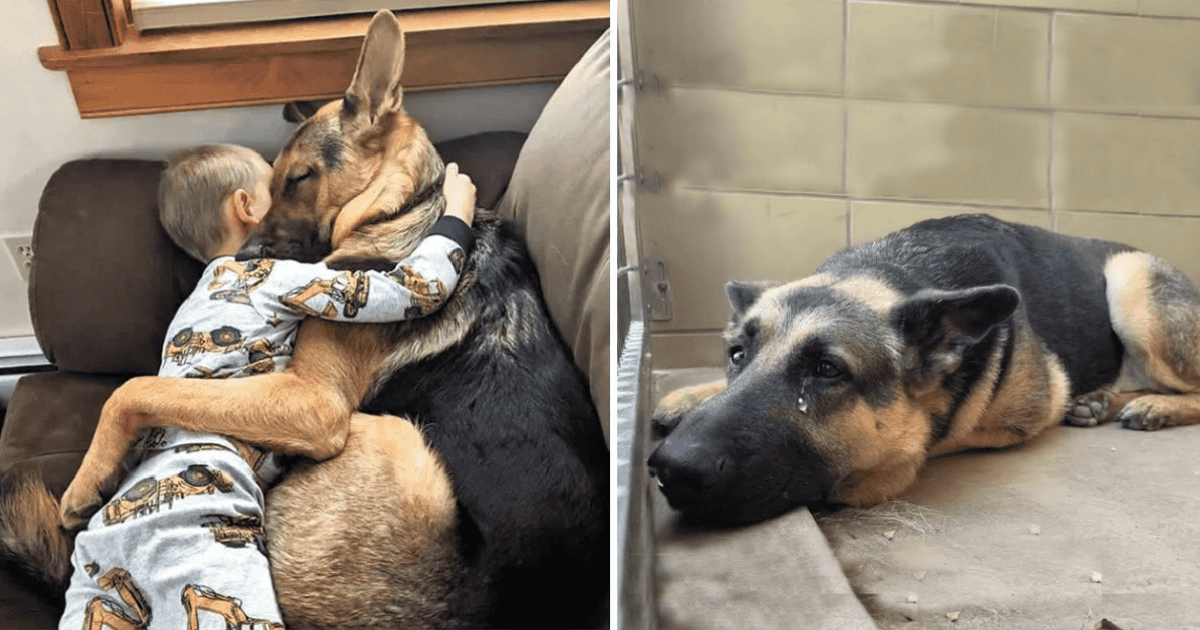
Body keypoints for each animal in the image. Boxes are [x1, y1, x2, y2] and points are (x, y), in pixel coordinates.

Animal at [1, 11, 608, 629]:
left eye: (299, 179)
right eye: (273, 185)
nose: (243, 259)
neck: (406, 207)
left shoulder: (314, 400)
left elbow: (134, 388)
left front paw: (87, 479)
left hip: (385, 432)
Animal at [649, 213, 1200, 525]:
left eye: (827, 370)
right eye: (737, 353)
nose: (668, 468)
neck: (888, 271)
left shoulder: (1033, 404)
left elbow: (930, 438)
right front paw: (693, 394)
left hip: (1130, 284)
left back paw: (1152, 406)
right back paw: (1102, 401)